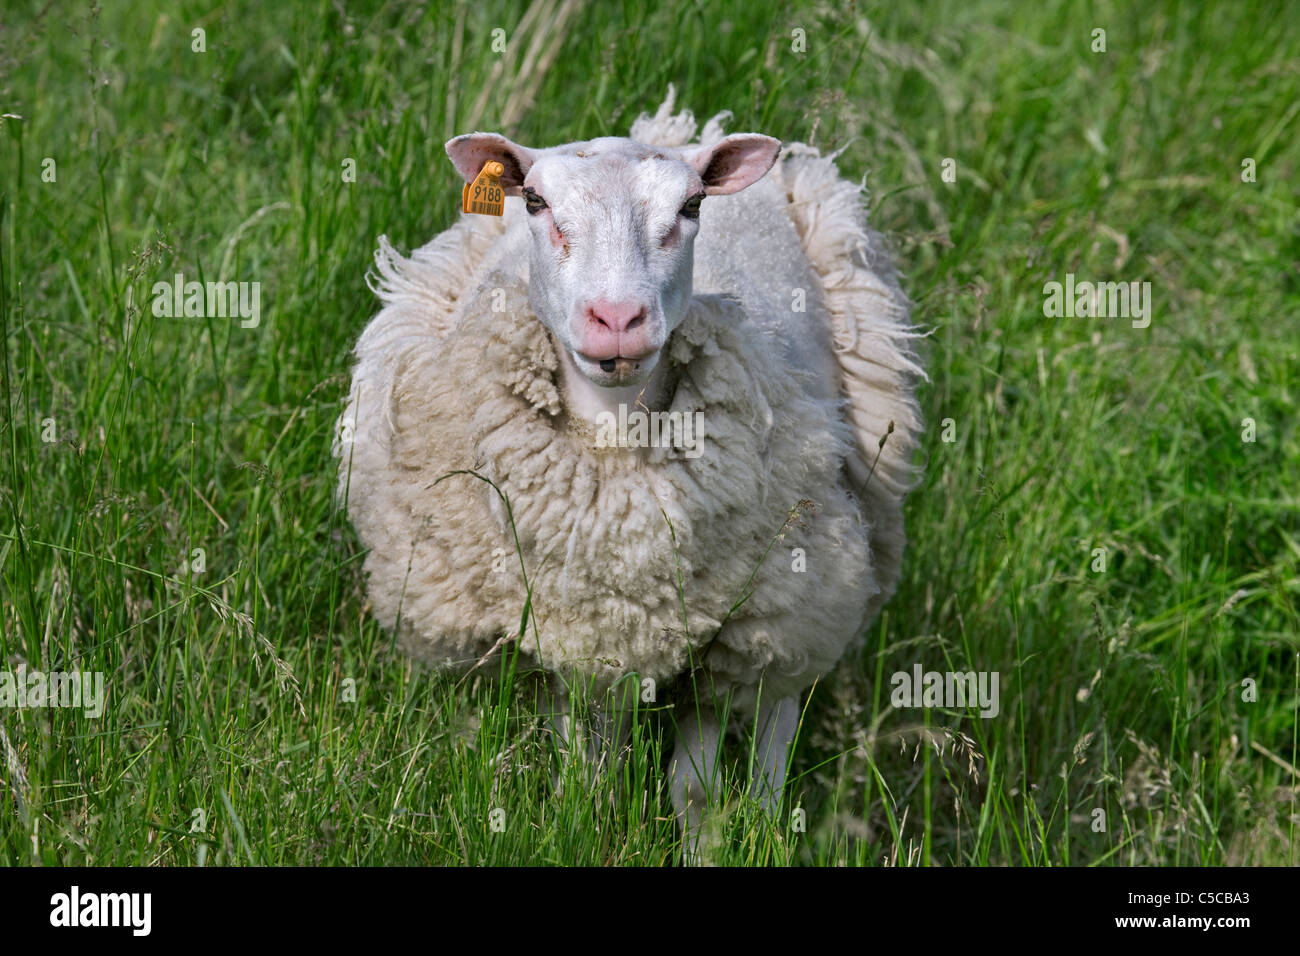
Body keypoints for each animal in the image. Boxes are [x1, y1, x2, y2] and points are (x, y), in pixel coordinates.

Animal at [335, 89, 925, 853]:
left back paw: (769, 818)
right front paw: (587, 828)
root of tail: (671, 126)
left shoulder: (736, 635)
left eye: (692, 205)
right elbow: (590, 778)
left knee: (778, 716)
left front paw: (712, 848)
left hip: (808, 593)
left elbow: (697, 790)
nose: (617, 318)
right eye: (535, 201)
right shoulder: (578, 635)